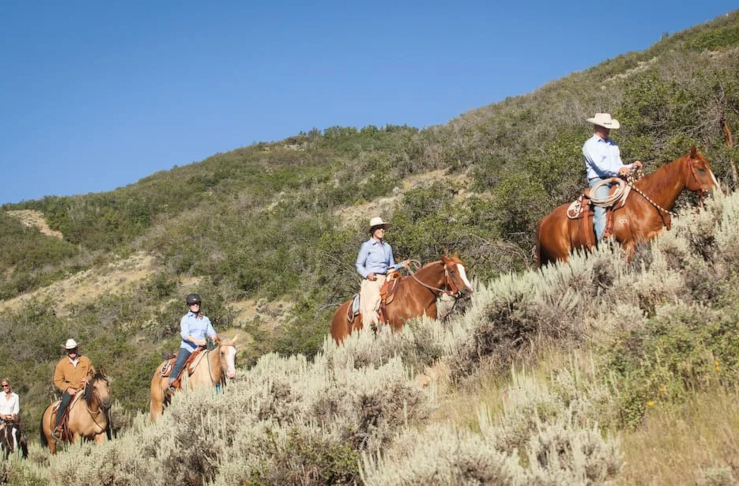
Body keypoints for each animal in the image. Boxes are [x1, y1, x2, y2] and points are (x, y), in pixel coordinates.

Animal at [330, 252, 474, 344]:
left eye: (465, 269)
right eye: (452, 271)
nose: (469, 290)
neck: (416, 294)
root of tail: (336, 315)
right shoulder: (398, 328)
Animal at [536, 146, 724, 268]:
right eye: (701, 169)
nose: (717, 192)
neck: (647, 203)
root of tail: (545, 221)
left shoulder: (657, 237)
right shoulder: (629, 245)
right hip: (563, 258)